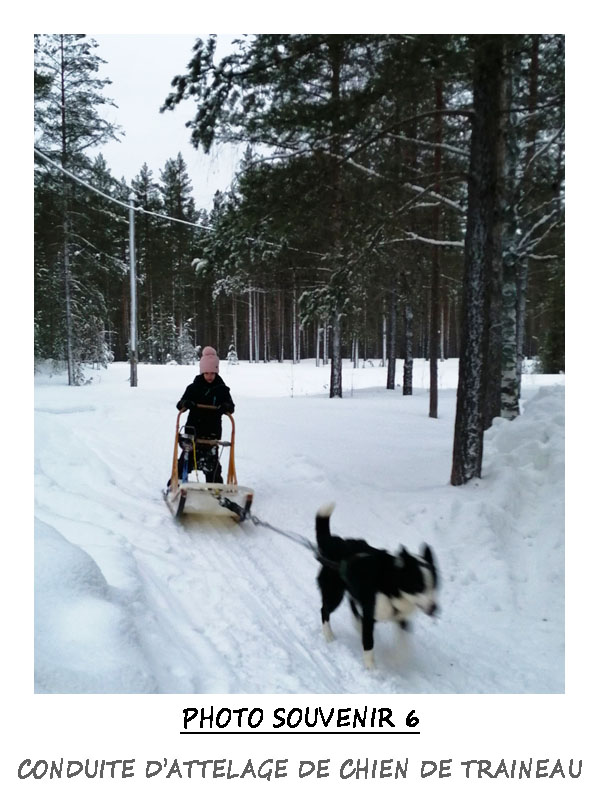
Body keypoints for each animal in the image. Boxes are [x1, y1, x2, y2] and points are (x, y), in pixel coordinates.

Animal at [316, 500, 438, 668]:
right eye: (419, 586)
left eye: (434, 585)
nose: (435, 608)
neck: (391, 584)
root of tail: (334, 543)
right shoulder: (370, 615)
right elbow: (369, 644)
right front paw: (371, 669)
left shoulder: (400, 618)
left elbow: (403, 646)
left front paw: (396, 661)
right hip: (335, 593)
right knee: (325, 610)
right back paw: (329, 635)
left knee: (352, 604)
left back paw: (356, 624)